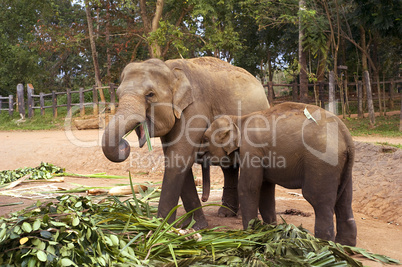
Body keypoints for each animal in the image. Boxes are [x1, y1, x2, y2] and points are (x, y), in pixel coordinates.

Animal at [100, 57, 270, 230]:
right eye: (118, 94)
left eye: (150, 94)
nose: (124, 143)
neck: (171, 70)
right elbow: (178, 161)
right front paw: (189, 226)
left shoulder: (194, 109)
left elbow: (178, 159)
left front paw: (161, 228)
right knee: (229, 166)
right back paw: (226, 213)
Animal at [203, 102, 356, 247]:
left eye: (205, 139)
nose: (204, 200)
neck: (239, 119)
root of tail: (346, 136)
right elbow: (266, 190)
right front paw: (269, 232)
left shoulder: (251, 151)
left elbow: (249, 188)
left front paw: (249, 236)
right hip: (342, 168)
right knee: (345, 201)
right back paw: (345, 245)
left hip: (322, 163)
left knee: (318, 200)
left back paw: (324, 246)